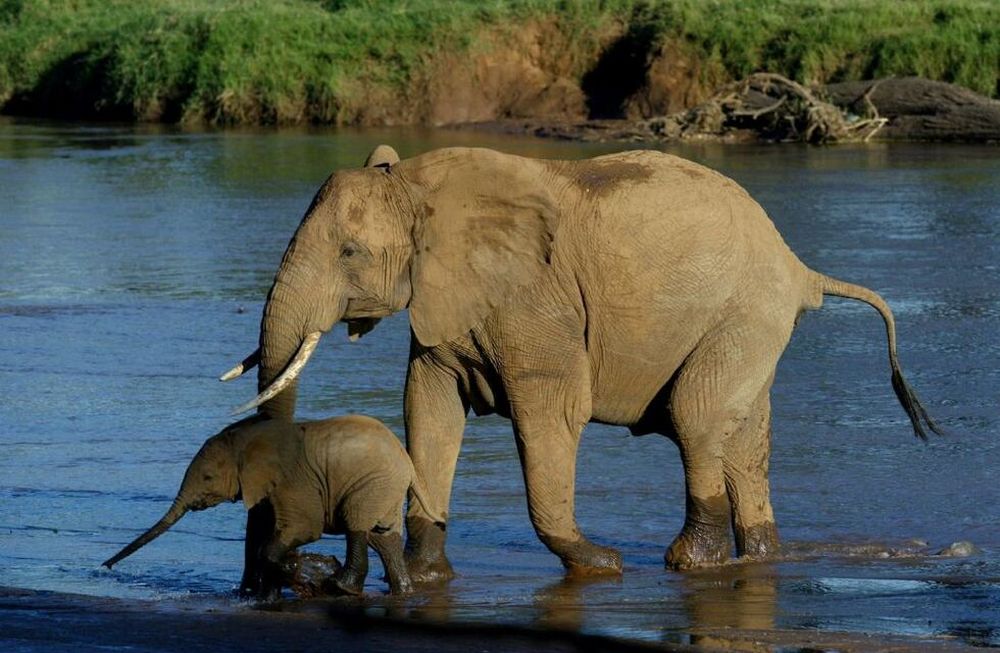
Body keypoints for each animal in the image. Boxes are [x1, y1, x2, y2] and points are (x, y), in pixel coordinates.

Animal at [103, 414, 438, 597]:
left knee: (357, 526)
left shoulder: (294, 479)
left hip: (372, 482)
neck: (246, 439)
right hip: (384, 488)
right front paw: (268, 595)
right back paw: (403, 592)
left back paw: (340, 587)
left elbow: (304, 528)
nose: (106, 566)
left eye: (208, 477)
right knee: (383, 537)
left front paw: (293, 575)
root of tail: (407, 463)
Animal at [221, 145, 940, 580]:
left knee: (697, 417)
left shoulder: (537, 299)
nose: (278, 575)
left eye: (348, 252)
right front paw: (428, 574)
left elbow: (551, 411)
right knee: (744, 438)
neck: (421, 183)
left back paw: (688, 563)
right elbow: (429, 409)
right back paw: (758, 555)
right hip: (748, 326)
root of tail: (800, 268)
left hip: (746, 315)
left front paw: (599, 563)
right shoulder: (444, 302)